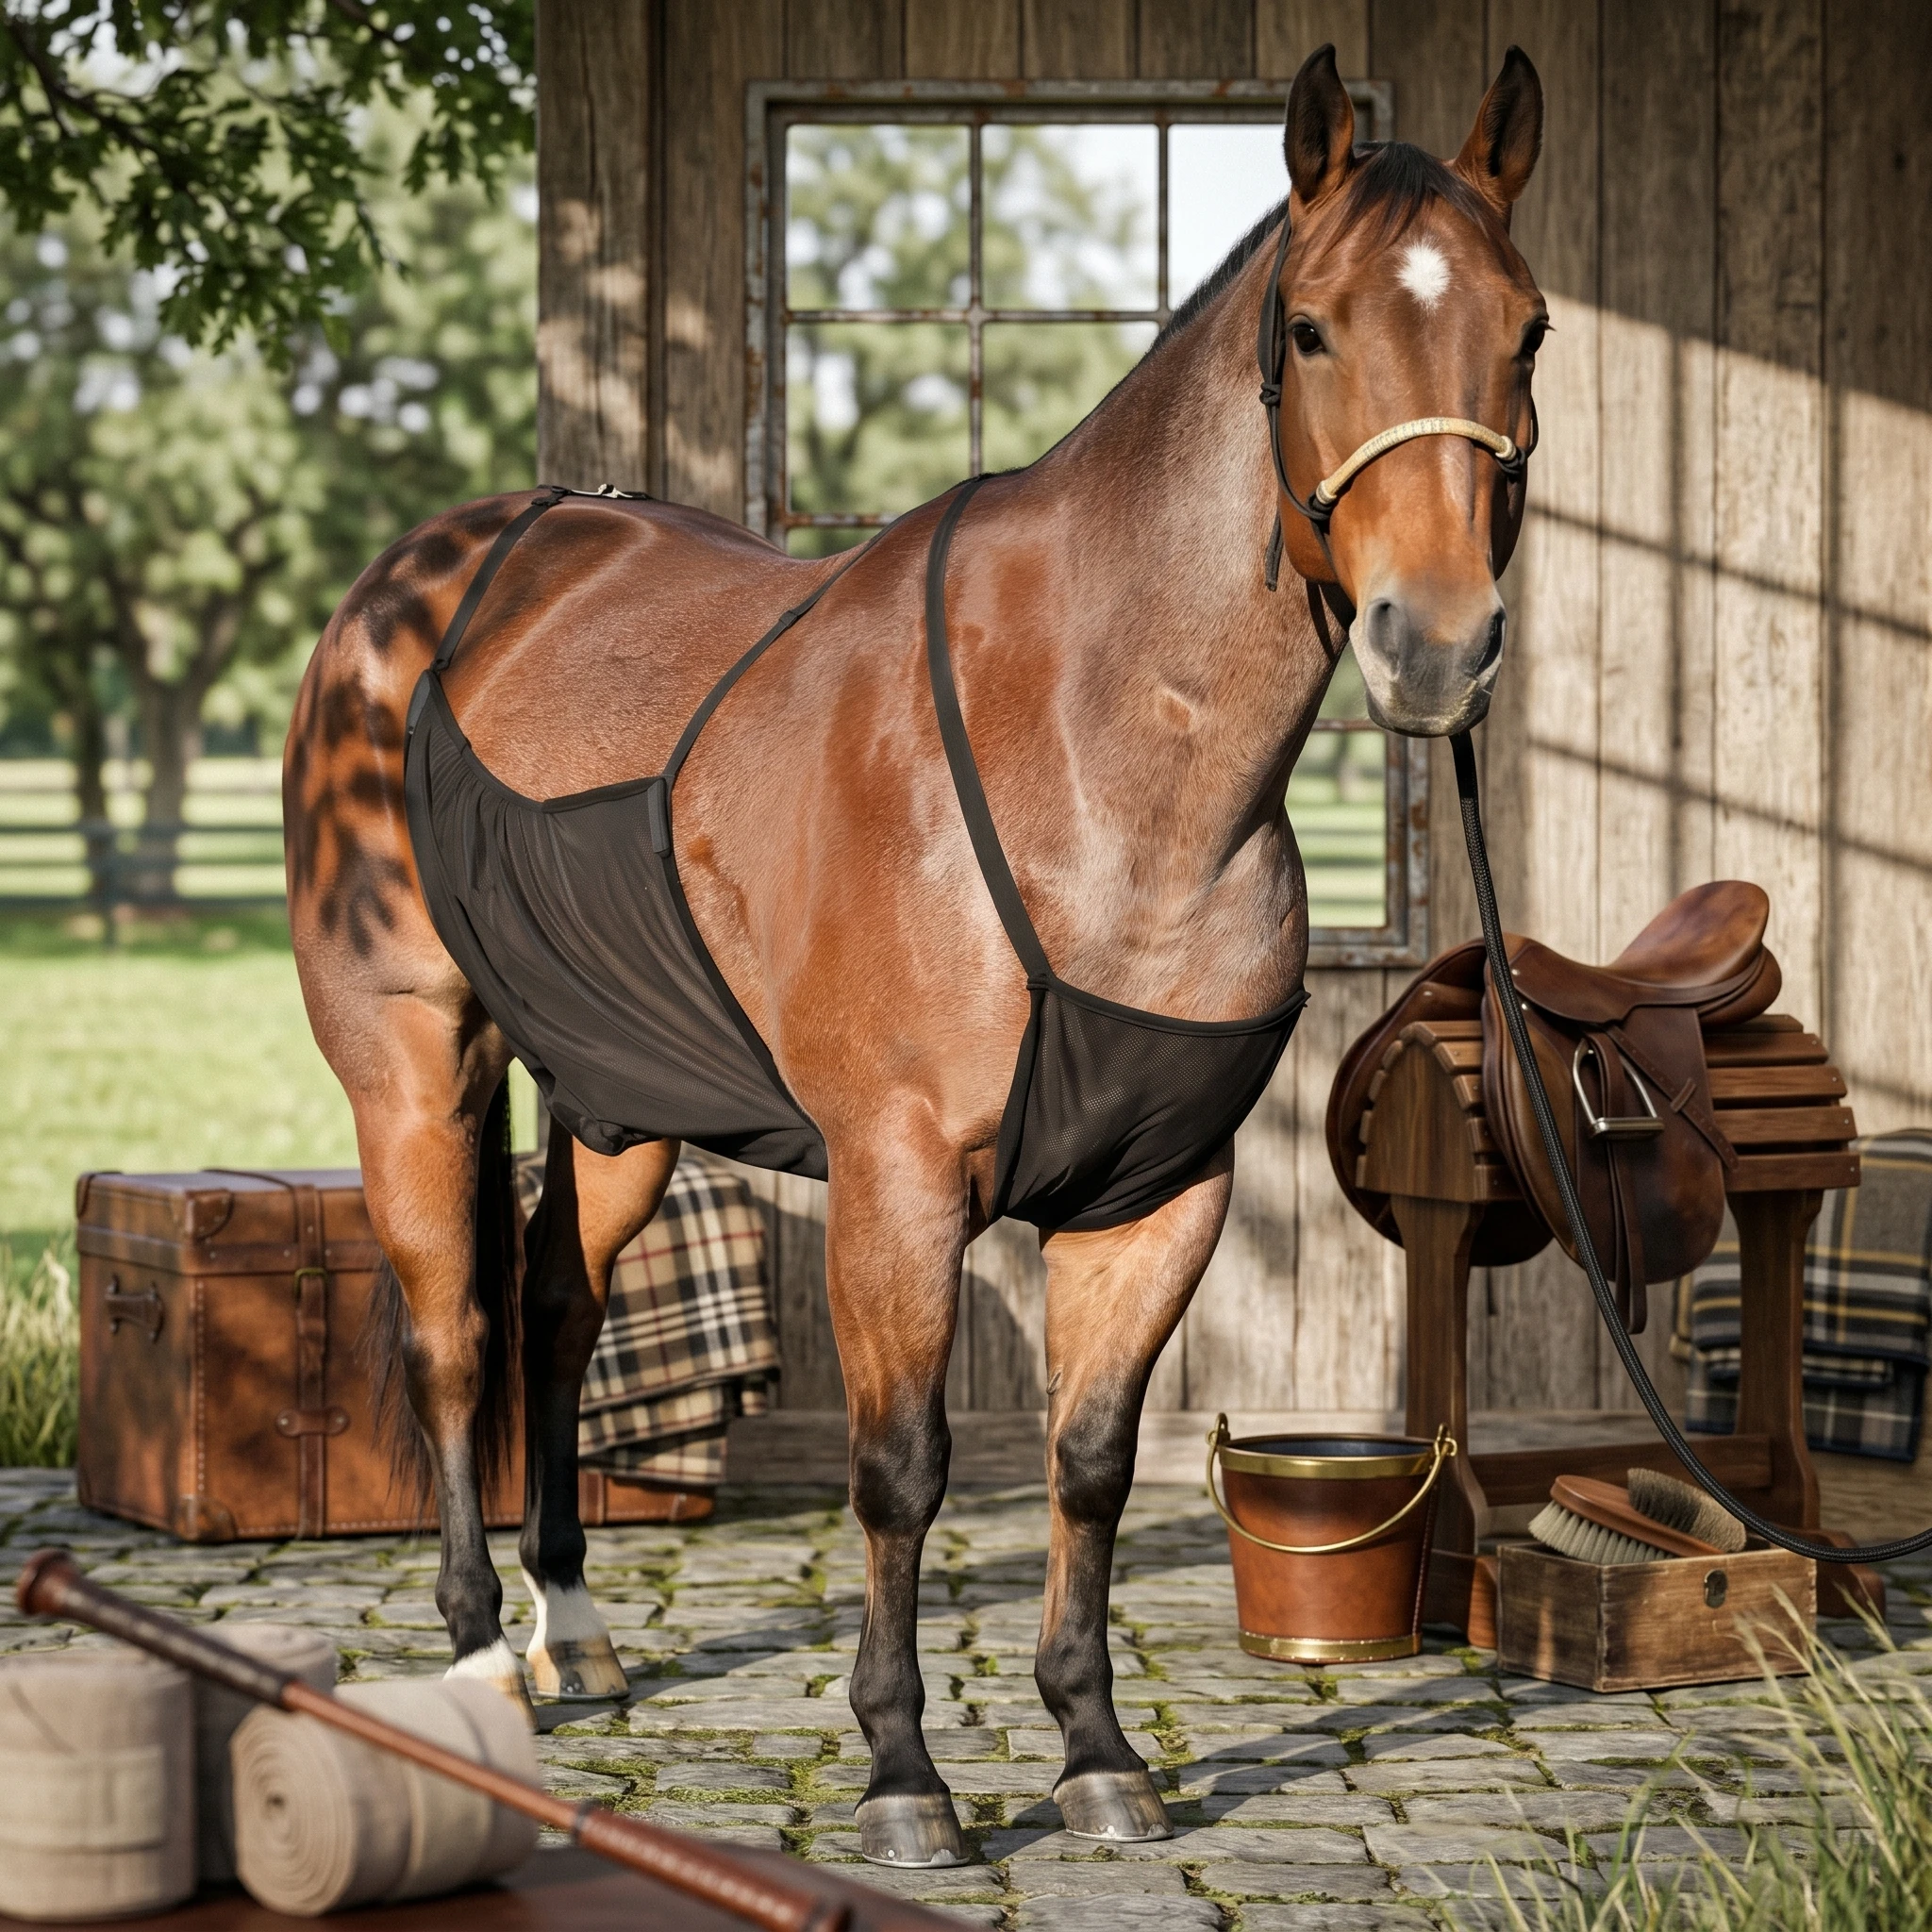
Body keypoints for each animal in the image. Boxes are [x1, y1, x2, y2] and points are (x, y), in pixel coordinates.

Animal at [283, 44, 1547, 1866]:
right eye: (1310, 328)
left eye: (1528, 329)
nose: (1435, 645)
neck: (1090, 755)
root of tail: (426, 576)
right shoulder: (896, 1182)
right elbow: (901, 1470)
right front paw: (902, 1773)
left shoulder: (1161, 1188)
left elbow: (1089, 1460)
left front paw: (1094, 1747)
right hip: (411, 1057)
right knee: (451, 1330)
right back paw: (472, 1661)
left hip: (616, 1094)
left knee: (557, 1311)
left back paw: (573, 1634)